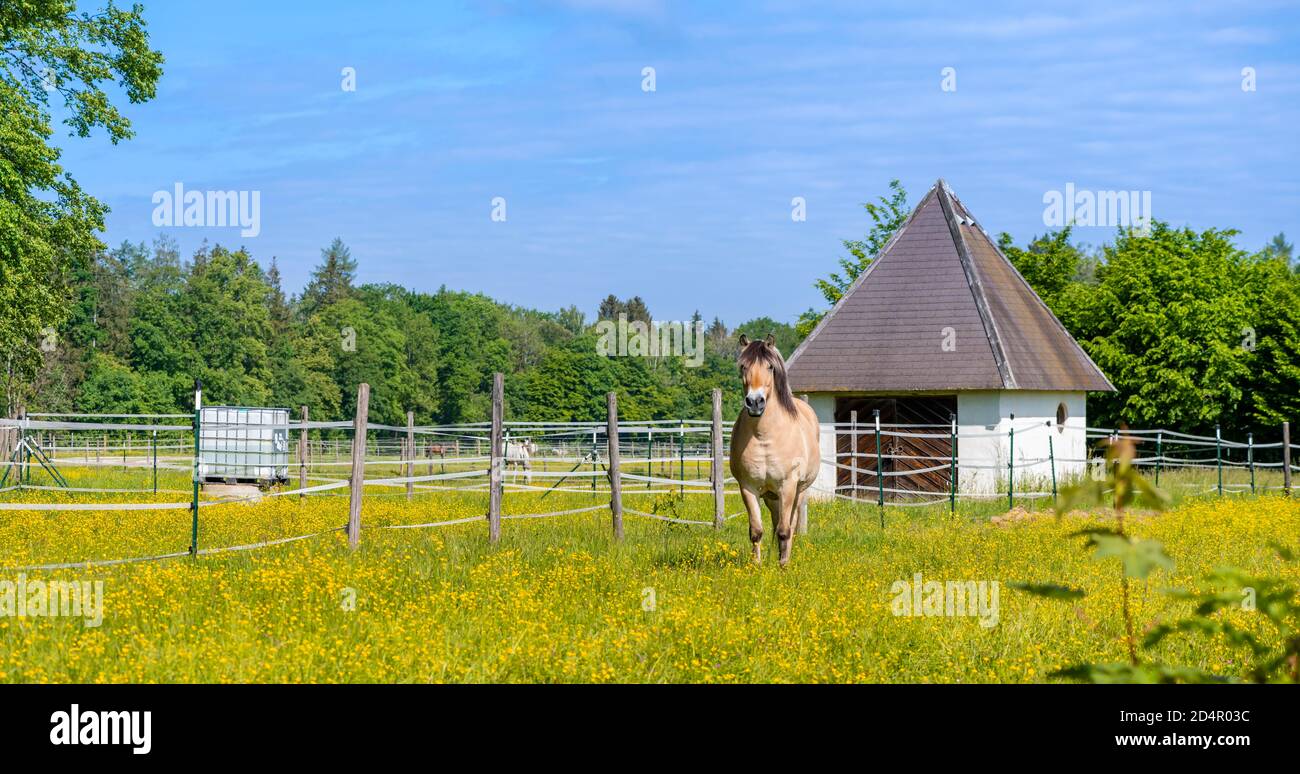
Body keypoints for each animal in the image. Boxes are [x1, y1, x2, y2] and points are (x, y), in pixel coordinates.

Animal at [728, 335, 816, 569]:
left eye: (770, 366)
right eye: (743, 366)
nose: (755, 402)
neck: (765, 436)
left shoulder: (788, 486)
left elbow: (786, 530)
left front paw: (783, 565)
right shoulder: (748, 487)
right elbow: (756, 531)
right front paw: (757, 566)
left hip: (797, 492)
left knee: (790, 525)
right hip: (771, 496)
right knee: (777, 522)